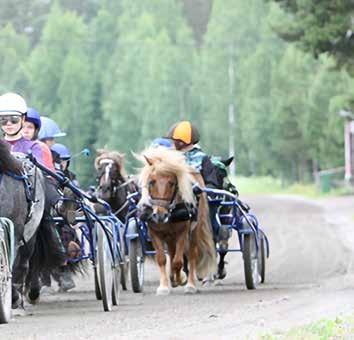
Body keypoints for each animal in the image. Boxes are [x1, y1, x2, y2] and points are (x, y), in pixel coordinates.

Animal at [138, 147, 216, 294]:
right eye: (151, 182)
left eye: (172, 183)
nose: (160, 215)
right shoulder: (154, 231)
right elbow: (162, 258)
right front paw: (164, 286)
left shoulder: (183, 232)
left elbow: (178, 261)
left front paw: (181, 279)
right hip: (169, 236)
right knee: (172, 252)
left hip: (195, 229)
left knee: (191, 254)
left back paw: (190, 284)